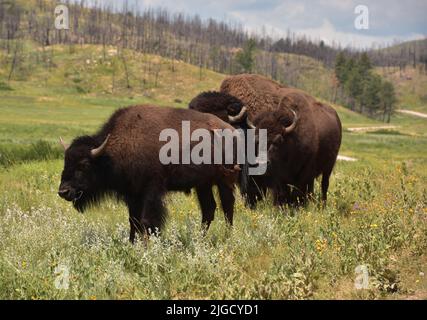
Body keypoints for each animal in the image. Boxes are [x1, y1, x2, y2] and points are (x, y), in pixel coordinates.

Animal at [57, 105, 241, 242]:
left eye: (84, 164)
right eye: (66, 162)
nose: (63, 191)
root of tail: (231, 131)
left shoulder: (151, 190)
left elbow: (147, 221)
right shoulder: (132, 194)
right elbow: (133, 221)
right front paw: (132, 243)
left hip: (225, 180)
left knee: (227, 207)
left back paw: (226, 237)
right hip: (203, 184)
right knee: (209, 209)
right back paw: (200, 239)